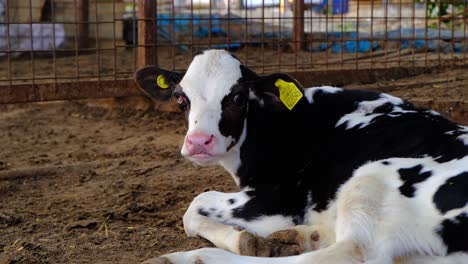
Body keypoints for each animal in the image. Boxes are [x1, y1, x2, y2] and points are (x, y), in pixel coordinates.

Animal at [133, 50, 466, 264]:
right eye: (180, 97)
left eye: (237, 97)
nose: (198, 142)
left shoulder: (276, 201)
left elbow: (193, 206)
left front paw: (242, 240)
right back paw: (301, 237)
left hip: (371, 179)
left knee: (350, 252)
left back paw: (184, 258)